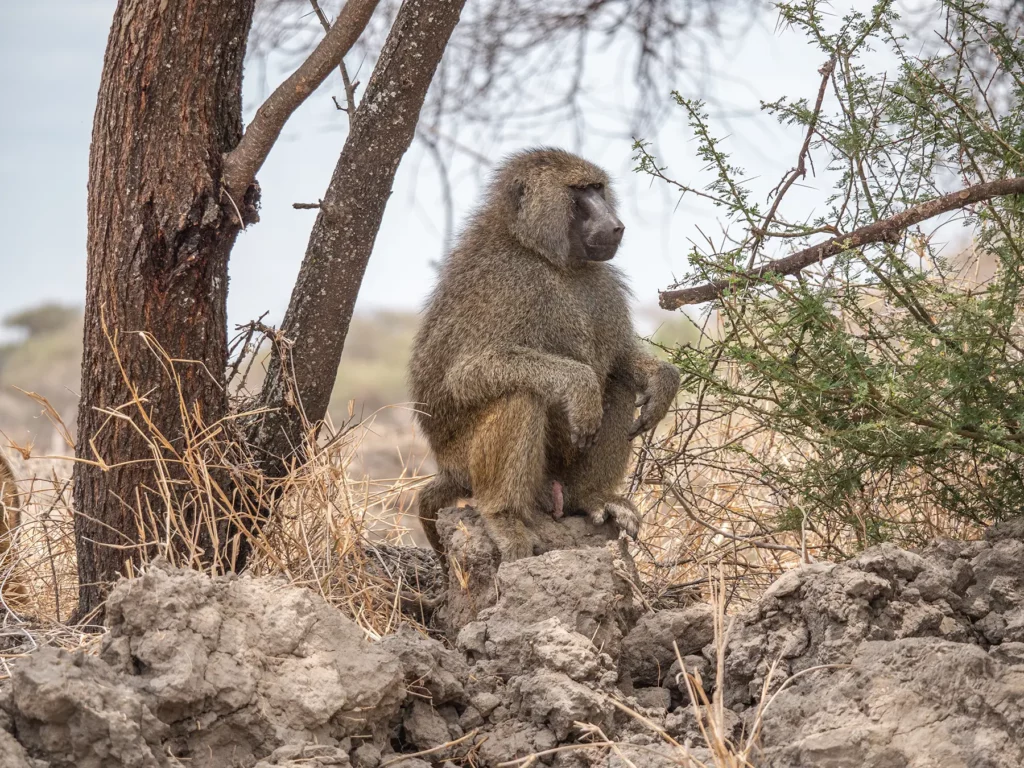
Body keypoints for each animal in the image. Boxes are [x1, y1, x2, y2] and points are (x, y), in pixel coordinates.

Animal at [409, 148, 680, 563]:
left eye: (598, 188)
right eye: (578, 192)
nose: (615, 226)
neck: (546, 256)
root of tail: (448, 471)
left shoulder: (601, 285)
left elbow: (620, 361)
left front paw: (663, 382)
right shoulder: (508, 282)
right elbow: (467, 373)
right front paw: (580, 386)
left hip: (557, 477)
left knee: (617, 384)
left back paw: (592, 497)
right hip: (465, 463)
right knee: (520, 395)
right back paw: (503, 516)